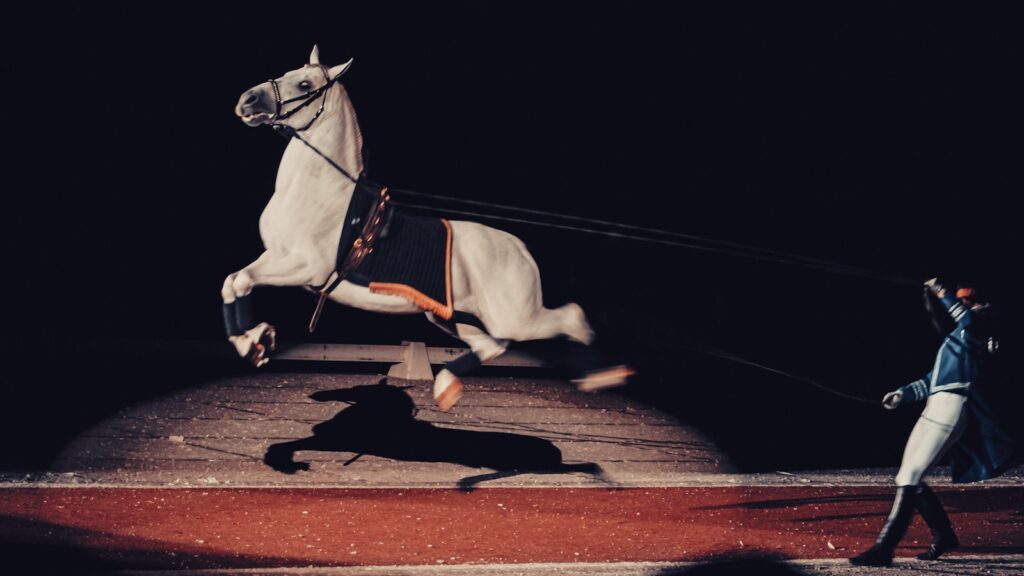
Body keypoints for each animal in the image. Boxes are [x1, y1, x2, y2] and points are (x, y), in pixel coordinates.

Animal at [223, 46, 631, 411]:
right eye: (287, 71)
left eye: (305, 83)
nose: (247, 100)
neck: (322, 191)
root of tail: (520, 248)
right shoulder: (274, 257)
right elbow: (235, 281)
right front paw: (254, 342)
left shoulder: (305, 266)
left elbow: (241, 281)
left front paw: (255, 340)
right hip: (453, 318)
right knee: (491, 344)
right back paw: (446, 386)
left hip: (517, 318)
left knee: (570, 317)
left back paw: (603, 377)